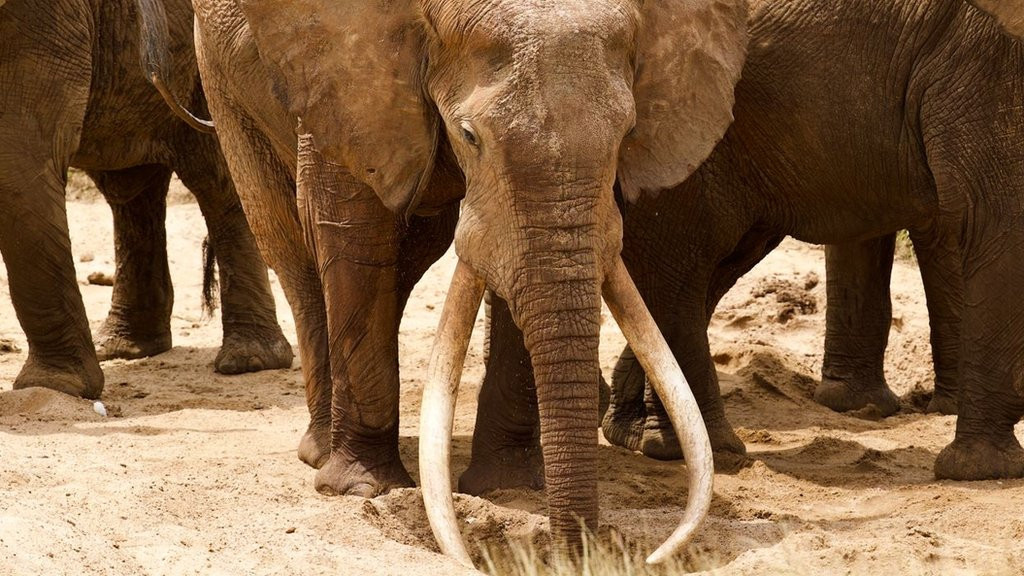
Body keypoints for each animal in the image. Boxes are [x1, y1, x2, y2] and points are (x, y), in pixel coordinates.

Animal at [0, 0, 293, 400]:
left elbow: (18, 162)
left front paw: (56, 387)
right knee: (131, 194)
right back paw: (124, 348)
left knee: (218, 183)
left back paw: (249, 361)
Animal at [166, 0, 749, 561]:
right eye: (469, 135)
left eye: (628, 134)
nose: (576, 551)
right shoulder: (343, 81)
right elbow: (353, 234)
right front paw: (361, 489)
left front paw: (508, 487)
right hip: (222, 82)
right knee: (291, 248)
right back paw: (320, 450)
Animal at [587, 0, 1024, 482]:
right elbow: (994, 215)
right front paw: (985, 471)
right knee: (680, 270)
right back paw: (713, 451)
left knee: (705, 270)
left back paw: (641, 436)